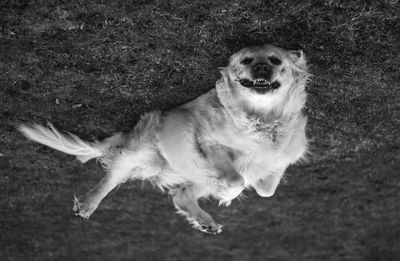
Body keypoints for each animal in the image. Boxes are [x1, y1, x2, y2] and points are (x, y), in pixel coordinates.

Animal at [19, 44, 310, 234]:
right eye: (247, 60)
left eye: (275, 60)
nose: (261, 67)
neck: (262, 119)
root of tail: (123, 138)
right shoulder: (207, 140)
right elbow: (236, 178)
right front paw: (228, 191)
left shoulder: (282, 157)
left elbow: (266, 188)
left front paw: (243, 185)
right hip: (141, 154)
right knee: (111, 177)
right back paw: (89, 204)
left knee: (180, 195)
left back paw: (205, 221)